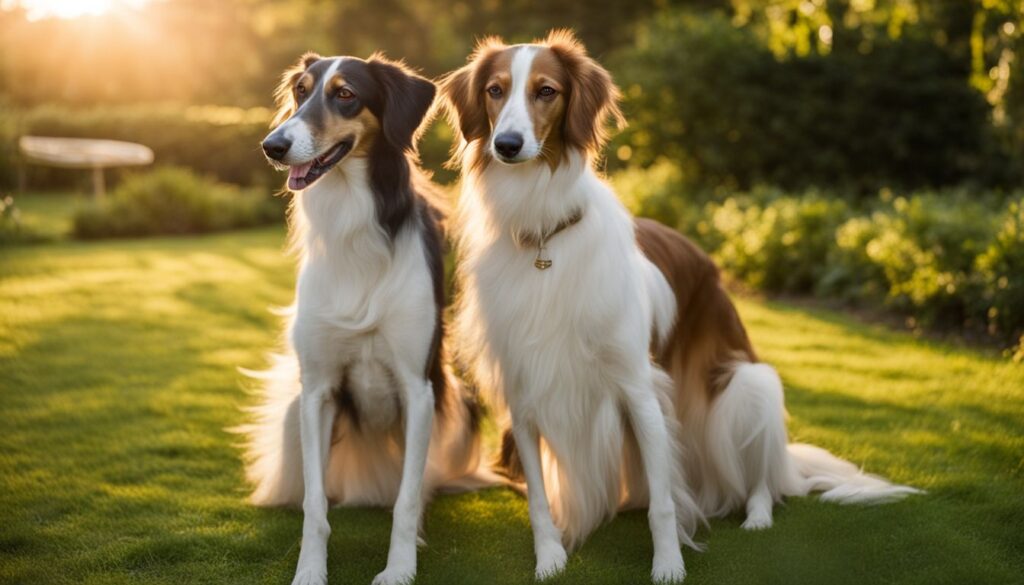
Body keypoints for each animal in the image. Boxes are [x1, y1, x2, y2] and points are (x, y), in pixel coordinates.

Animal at [440, 30, 921, 581]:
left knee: (762, 477)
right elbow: (540, 498)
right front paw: (550, 557)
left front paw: (668, 564)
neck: (544, 233)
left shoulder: (639, 389)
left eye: (546, 91)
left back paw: (756, 513)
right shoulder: (523, 395)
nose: (507, 145)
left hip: (747, 386)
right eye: (495, 90)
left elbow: (665, 504)